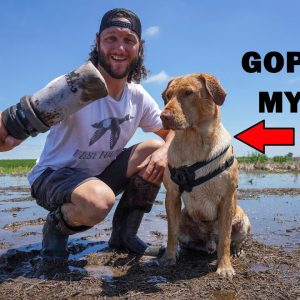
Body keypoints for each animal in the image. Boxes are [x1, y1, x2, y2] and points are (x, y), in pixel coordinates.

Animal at [159, 73, 251, 276]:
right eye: (168, 96)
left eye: (188, 92)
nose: (163, 116)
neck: (193, 142)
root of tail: (209, 242)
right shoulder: (172, 195)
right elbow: (171, 232)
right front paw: (169, 257)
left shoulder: (227, 198)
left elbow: (225, 239)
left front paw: (224, 267)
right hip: (184, 220)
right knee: (186, 239)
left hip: (243, 222)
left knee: (233, 241)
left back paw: (236, 251)